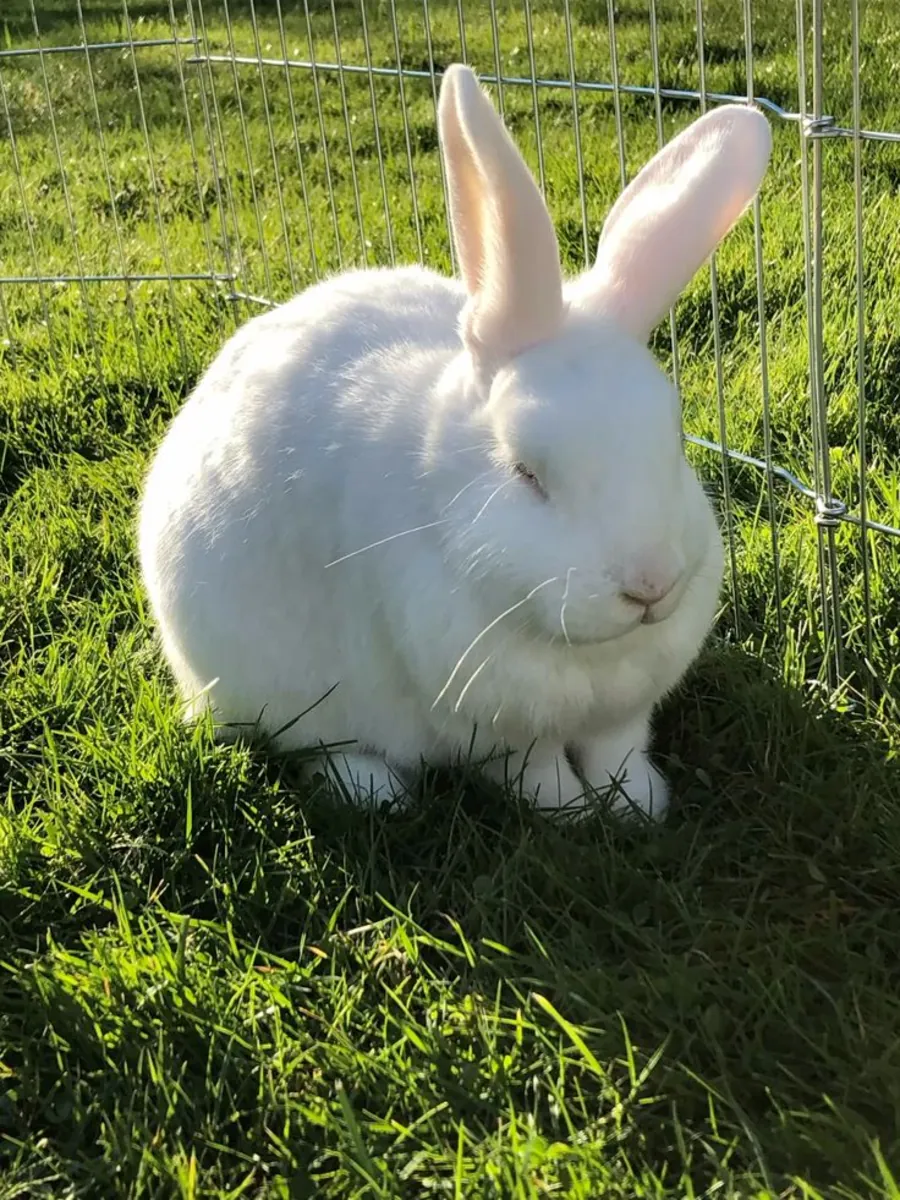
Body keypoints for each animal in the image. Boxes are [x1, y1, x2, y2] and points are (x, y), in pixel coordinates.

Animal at [138, 63, 771, 819]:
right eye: (525, 472)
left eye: (672, 441)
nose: (650, 584)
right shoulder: (496, 729)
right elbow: (537, 772)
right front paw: (572, 813)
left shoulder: (623, 711)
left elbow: (618, 750)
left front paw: (638, 806)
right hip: (274, 691)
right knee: (321, 745)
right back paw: (375, 791)